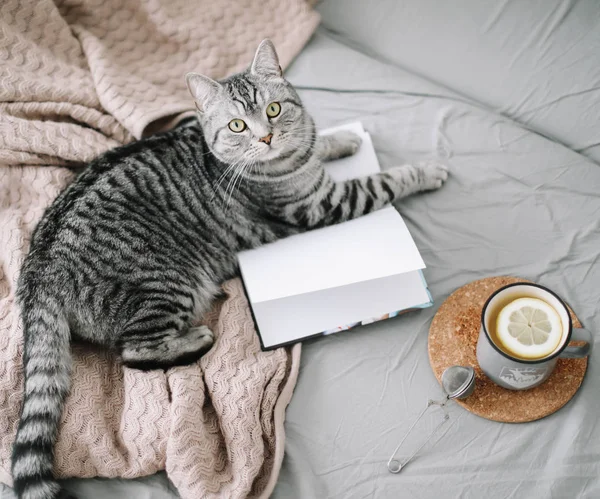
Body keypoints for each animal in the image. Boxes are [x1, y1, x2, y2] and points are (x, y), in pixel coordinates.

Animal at [11, 40, 448, 499]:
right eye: (238, 125)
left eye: (273, 110)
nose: (266, 136)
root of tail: (37, 273)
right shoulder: (322, 204)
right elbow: (384, 182)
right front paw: (424, 171)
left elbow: (321, 142)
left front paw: (342, 138)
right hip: (167, 285)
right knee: (135, 352)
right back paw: (195, 339)